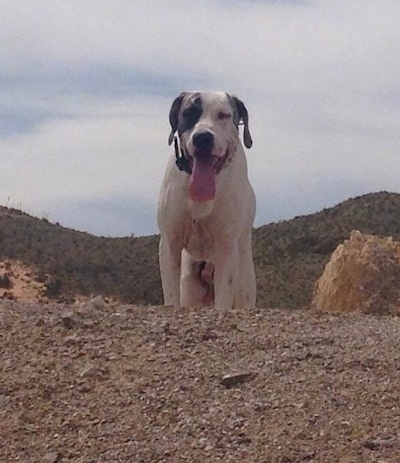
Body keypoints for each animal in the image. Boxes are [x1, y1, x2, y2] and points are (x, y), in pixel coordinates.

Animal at [157, 89, 256, 312]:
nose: (202, 138)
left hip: (244, 281)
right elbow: (171, 295)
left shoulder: (227, 247)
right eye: (189, 113)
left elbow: (223, 299)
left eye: (223, 115)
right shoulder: (170, 243)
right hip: (191, 284)